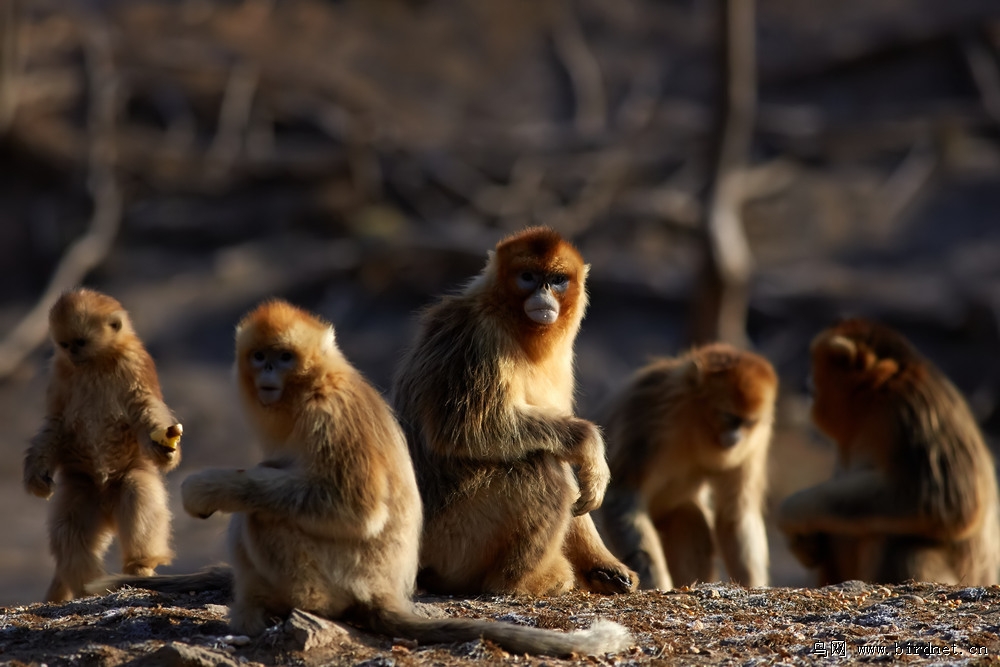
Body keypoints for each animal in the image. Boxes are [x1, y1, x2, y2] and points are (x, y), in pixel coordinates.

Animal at [23, 290, 184, 604]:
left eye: (81, 342)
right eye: (65, 345)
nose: (73, 353)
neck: (96, 363)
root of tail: (107, 508)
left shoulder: (134, 363)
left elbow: (145, 408)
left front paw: (164, 448)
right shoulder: (60, 371)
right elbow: (55, 424)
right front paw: (36, 476)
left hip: (122, 483)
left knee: (137, 491)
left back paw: (139, 566)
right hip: (84, 491)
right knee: (69, 529)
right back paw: (88, 584)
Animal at [592, 344, 772, 588]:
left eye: (748, 422)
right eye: (728, 417)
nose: (736, 439)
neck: (694, 423)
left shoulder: (756, 441)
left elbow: (736, 512)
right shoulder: (647, 410)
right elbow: (623, 496)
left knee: (687, 515)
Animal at [780, 318, 1000, 584]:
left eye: (815, 368)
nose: (807, 381)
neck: (876, 394)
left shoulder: (908, 411)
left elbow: (946, 500)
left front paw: (794, 510)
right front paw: (803, 542)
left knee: (898, 541)